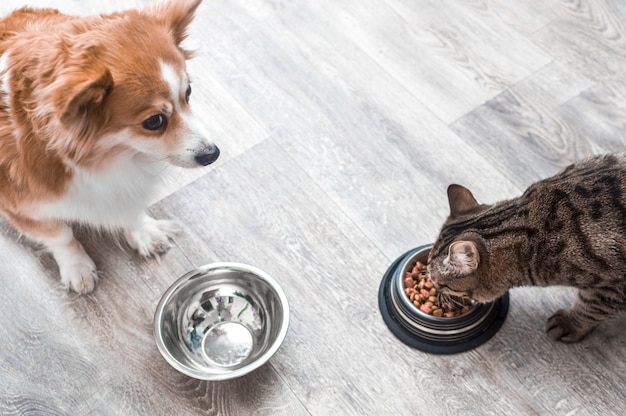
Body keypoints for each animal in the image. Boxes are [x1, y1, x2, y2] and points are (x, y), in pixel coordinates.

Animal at [0, 0, 219, 292]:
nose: (213, 154)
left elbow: (129, 208)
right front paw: (77, 266)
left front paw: (144, 231)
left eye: (188, 93)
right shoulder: (20, 207)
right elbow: (59, 234)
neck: (110, 157)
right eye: (154, 121)